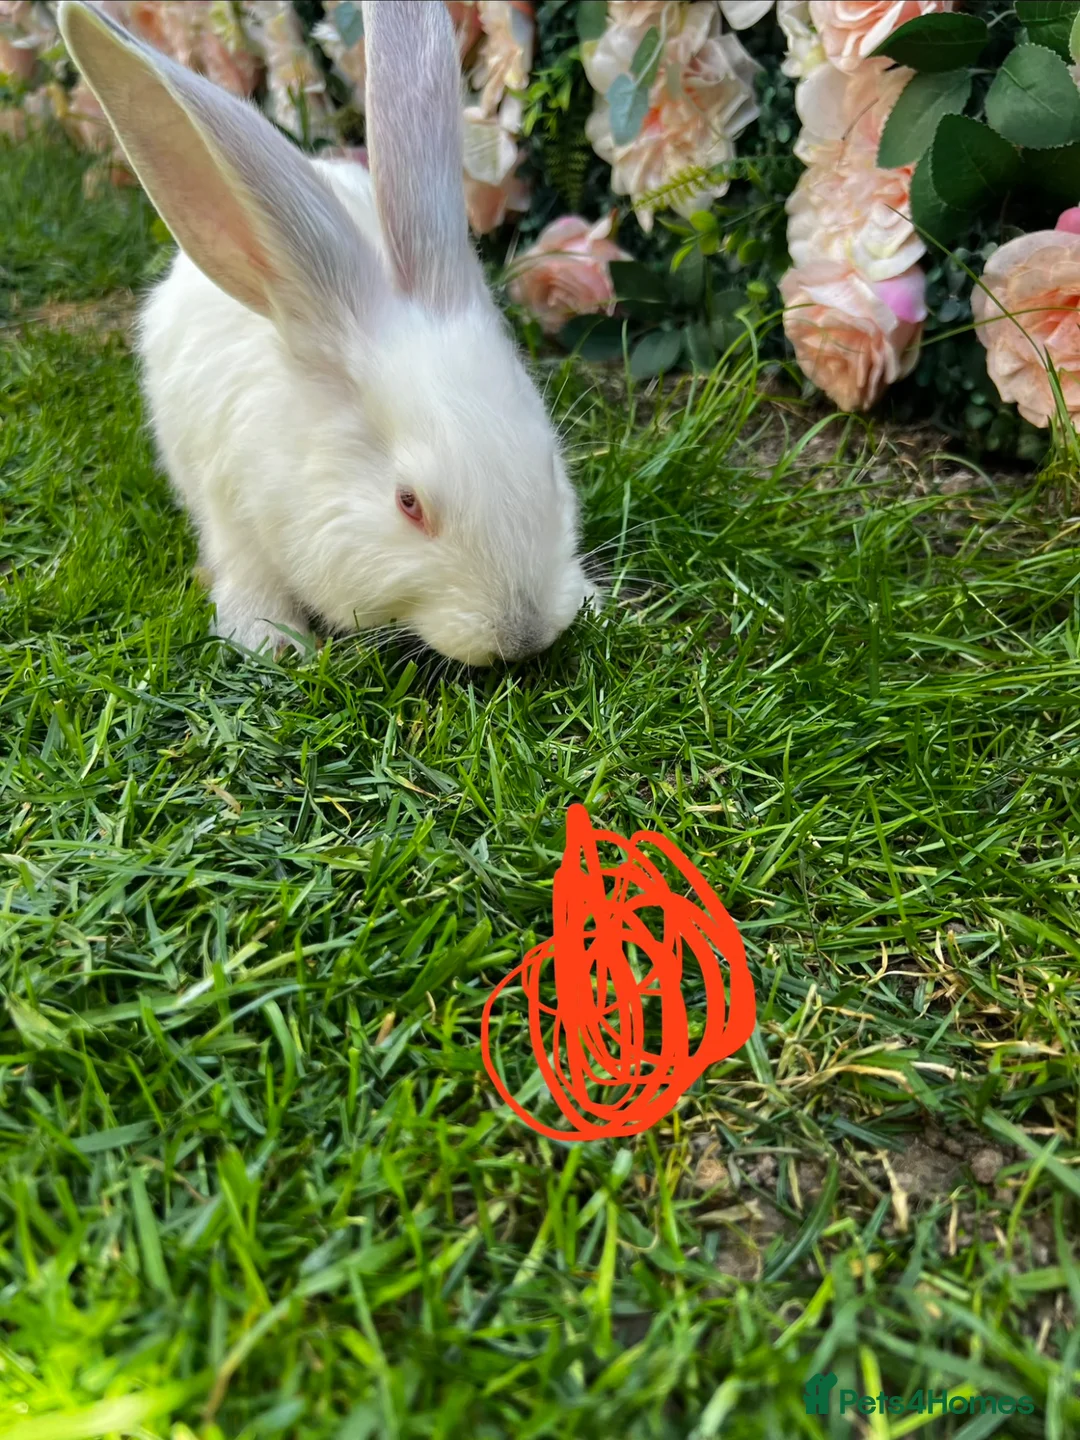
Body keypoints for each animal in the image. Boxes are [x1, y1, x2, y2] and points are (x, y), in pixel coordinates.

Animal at [56, 0, 594, 665]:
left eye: (548, 463)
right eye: (407, 503)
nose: (523, 635)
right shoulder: (230, 506)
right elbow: (244, 568)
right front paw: (268, 638)